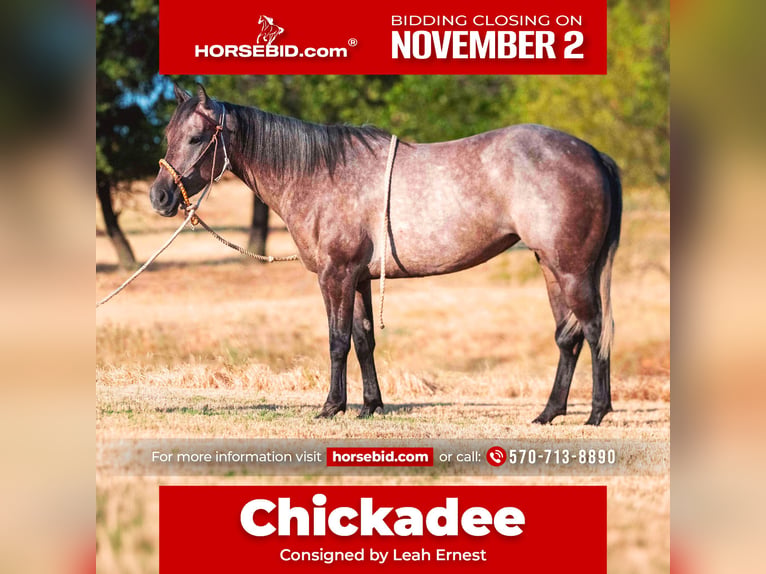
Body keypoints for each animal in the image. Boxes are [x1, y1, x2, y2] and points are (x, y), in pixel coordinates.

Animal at [150, 84, 622, 426]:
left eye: (195, 137)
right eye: (168, 136)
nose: (160, 196)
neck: (319, 174)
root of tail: (593, 154)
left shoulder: (335, 275)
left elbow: (337, 340)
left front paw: (331, 406)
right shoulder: (358, 278)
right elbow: (363, 340)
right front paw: (370, 405)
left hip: (573, 270)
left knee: (594, 330)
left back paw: (596, 413)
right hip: (551, 268)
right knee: (567, 336)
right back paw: (549, 413)